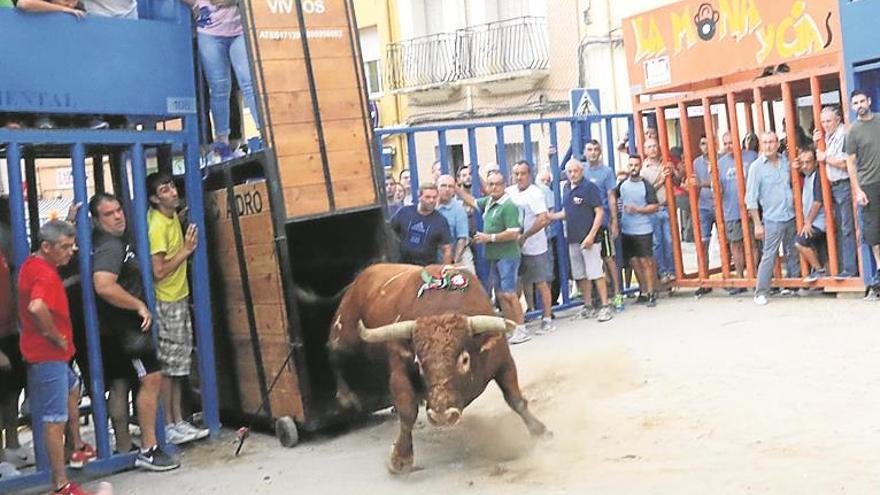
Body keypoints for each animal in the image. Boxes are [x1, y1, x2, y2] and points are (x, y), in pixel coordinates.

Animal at [330, 264, 552, 472]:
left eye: (464, 359)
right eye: (419, 363)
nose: (442, 415)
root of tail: (359, 279)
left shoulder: (504, 362)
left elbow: (516, 400)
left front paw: (540, 431)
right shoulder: (399, 369)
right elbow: (407, 412)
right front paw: (401, 458)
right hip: (343, 335)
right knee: (335, 355)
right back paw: (347, 396)